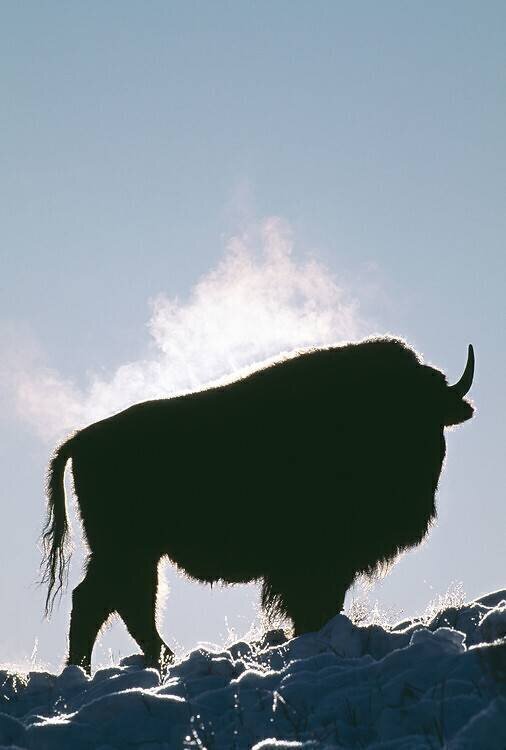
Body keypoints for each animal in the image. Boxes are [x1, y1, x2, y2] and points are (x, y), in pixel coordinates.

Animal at [42, 337, 475, 672]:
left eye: (426, 412)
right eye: (393, 408)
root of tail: (81, 439)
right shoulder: (317, 562)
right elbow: (313, 605)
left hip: (134, 554)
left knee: (117, 603)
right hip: (127, 550)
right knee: (107, 602)